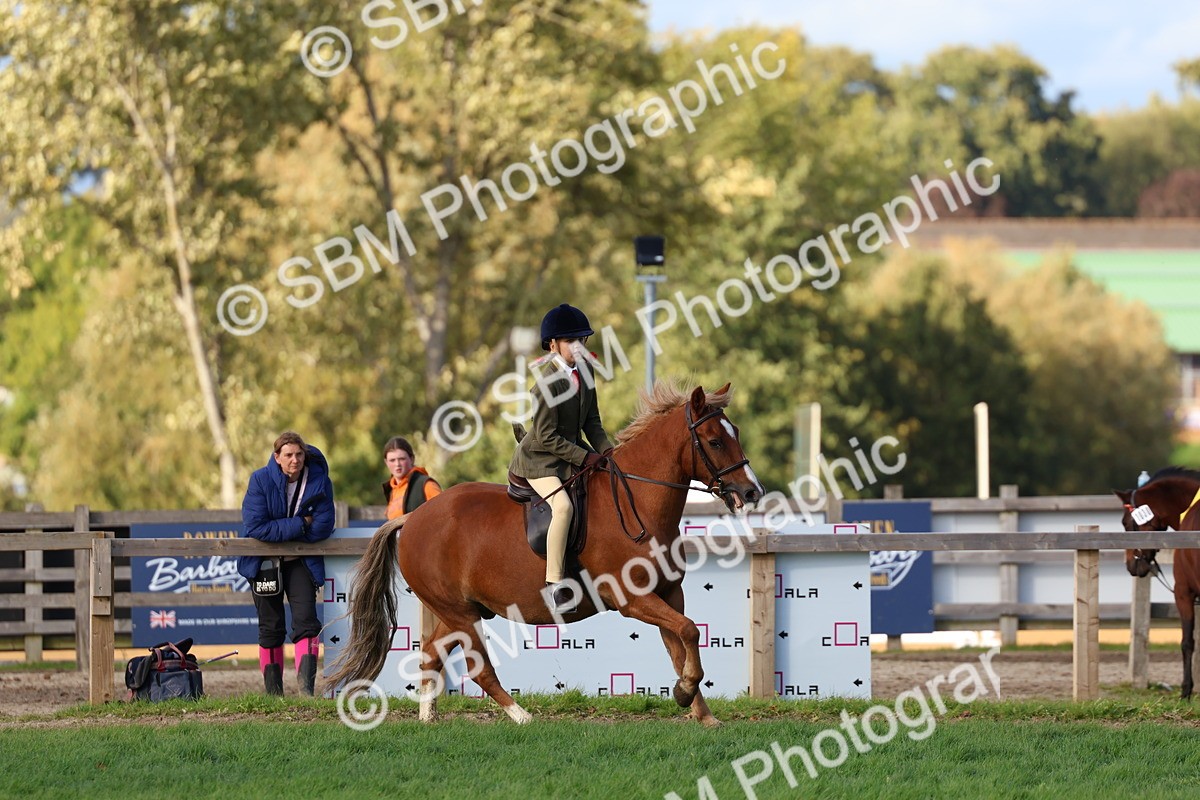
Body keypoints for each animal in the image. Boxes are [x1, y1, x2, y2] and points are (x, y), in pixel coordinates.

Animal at [325, 382, 764, 725]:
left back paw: (428, 718)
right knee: (479, 668)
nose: (751, 492)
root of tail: (412, 518)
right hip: (461, 614)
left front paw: (699, 708)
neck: (638, 500)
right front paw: (685, 692)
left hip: (458, 611)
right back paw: (521, 716)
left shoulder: (669, 593)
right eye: (714, 441)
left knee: (431, 654)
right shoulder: (632, 598)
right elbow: (688, 631)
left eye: (737, 433)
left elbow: (681, 644)